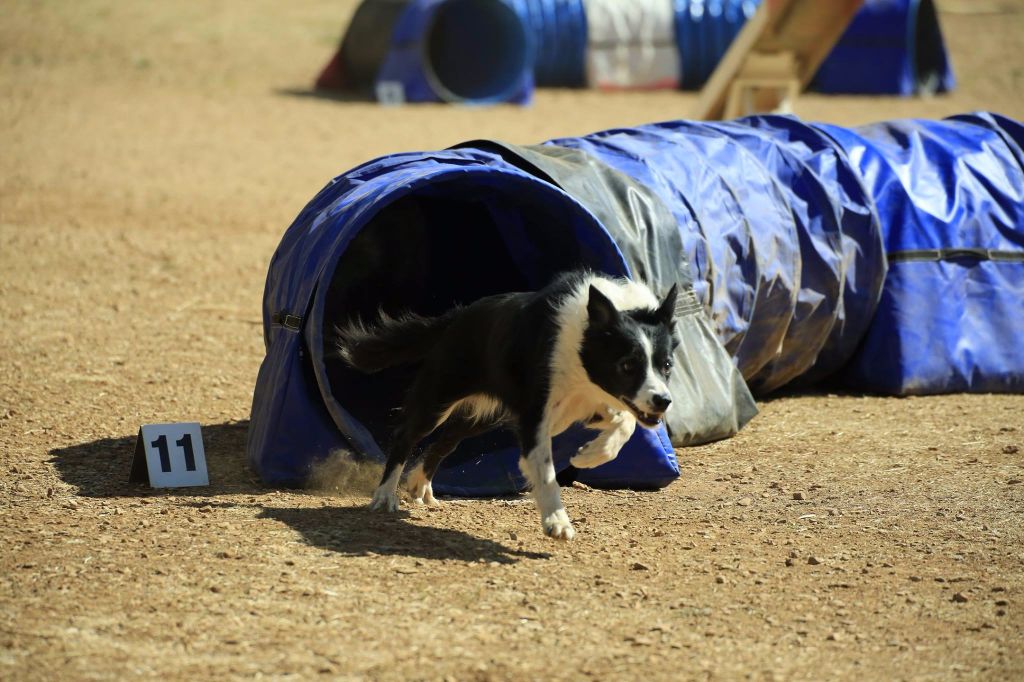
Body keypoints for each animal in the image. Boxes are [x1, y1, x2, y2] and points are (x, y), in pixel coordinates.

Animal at [331, 268, 675, 540]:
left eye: (667, 365)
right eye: (627, 365)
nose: (664, 401)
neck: (583, 339)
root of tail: (458, 316)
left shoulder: (590, 403)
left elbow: (625, 424)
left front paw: (590, 455)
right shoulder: (536, 415)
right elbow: (545, 469)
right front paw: (557, 522)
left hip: (484, 416)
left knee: (446, 440)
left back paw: (419, 484)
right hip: (438, 398)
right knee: (407, 435)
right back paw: (385, 496)